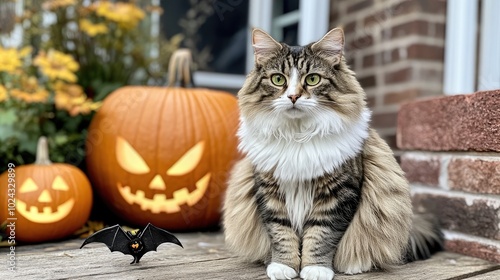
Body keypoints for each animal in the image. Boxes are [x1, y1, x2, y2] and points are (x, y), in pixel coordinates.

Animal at [223, 26, 442, 280]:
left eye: (312, 79)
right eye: (278, 79)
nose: (293, 97)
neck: (297, 135)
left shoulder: (337, 195)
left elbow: (321, 237)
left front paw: (315, 269)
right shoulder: (270, 192)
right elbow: (281, 233)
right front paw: (283, 266)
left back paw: (354, 265)